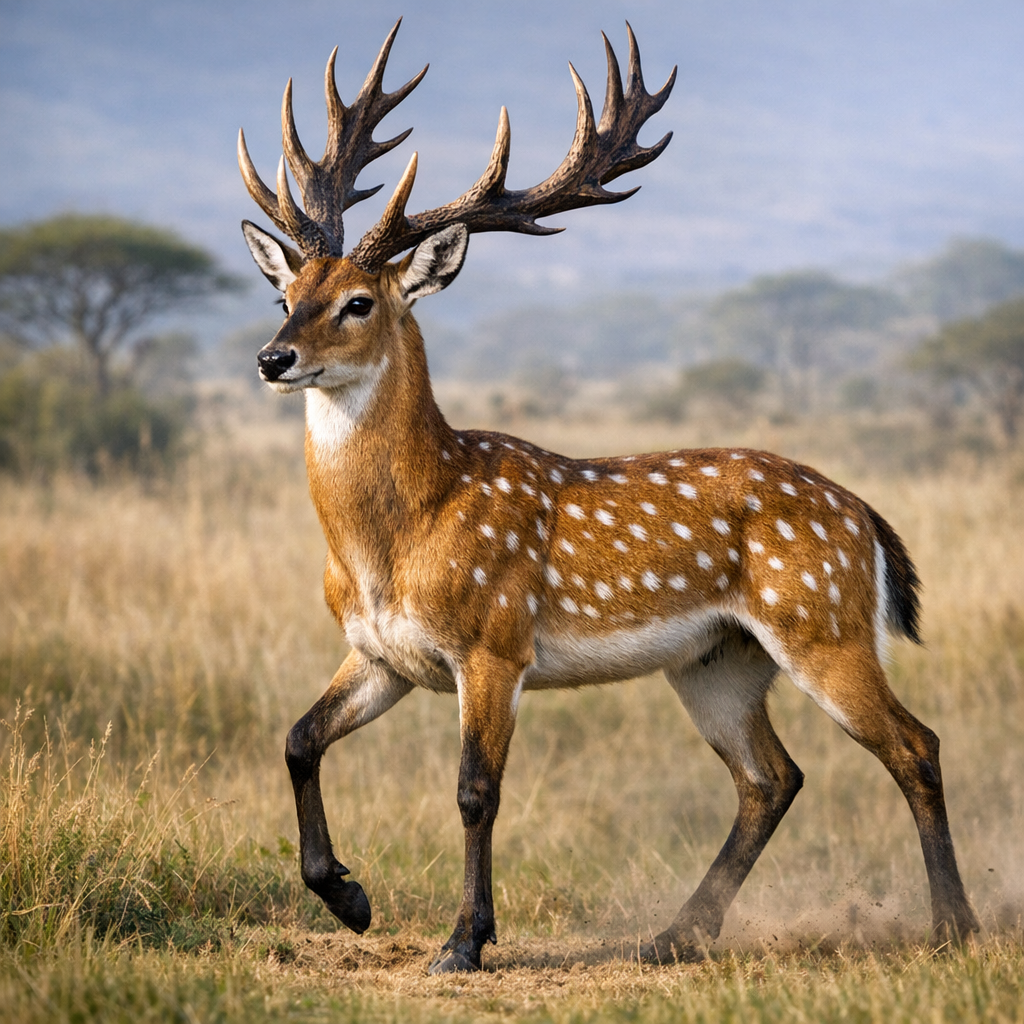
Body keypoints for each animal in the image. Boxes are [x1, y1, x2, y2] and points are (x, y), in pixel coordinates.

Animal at [237, 20, 979, 973]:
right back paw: (674, 935)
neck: (398, 540)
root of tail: (866, 519)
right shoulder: (381, 654)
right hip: (718, 662)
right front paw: (350, 897)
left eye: (359, 302)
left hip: (825, 625)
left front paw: (464, 941)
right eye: (284, 292)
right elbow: (298, 738)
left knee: (913, 744)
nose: (273, 358)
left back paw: (954, 926)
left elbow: (475, 789)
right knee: (772, 776)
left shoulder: (495, 640)